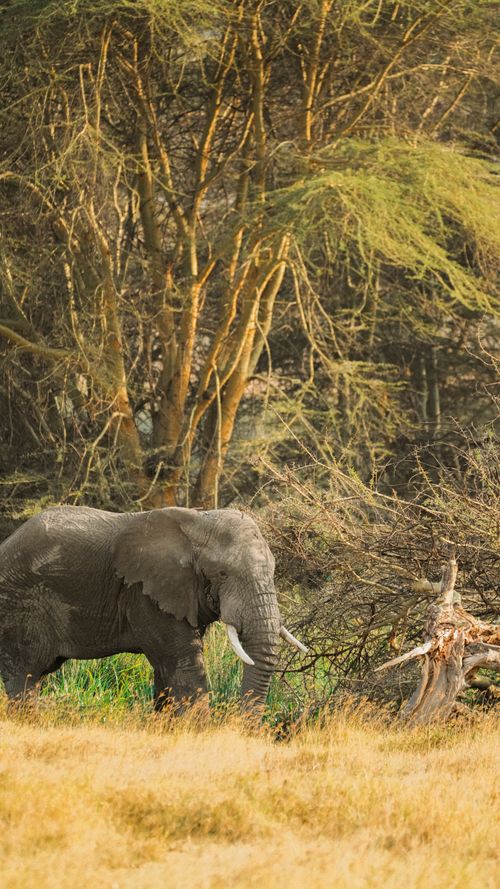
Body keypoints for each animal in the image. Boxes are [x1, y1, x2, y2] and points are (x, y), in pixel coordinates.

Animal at [0, 505, 306, 710]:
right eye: (222, 573)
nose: (239, 726)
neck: (198, 523)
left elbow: (166, 672)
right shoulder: (144, 594)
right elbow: (183, 664)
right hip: (18, 606)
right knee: (25, 677)